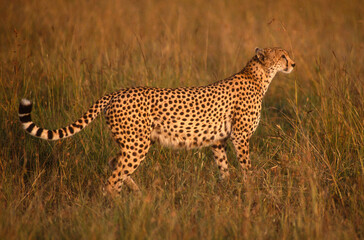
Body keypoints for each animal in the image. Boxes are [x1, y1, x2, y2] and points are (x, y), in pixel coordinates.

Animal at [17, 47, 296, 195]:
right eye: (282, 56)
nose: (293, 63)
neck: (258, 77)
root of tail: (115, 92)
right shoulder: (240, 137)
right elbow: (247, 167)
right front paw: (252, 191)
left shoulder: (219, 141)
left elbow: (224, 169)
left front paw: (226, 193)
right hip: (137, 145)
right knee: (112, 180)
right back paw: (119, 206)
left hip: (133, 143)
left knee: (114, 164)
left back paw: (138, 194)